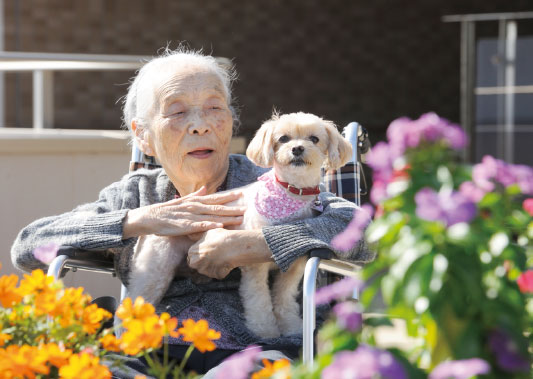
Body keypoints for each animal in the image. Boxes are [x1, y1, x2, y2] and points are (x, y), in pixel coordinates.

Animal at [128, 112, 352, 338]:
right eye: (283, 138)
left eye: (314, 139)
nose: (297, 148)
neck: (291, 193)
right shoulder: (255, 267)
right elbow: (258, 300)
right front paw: (265, 331)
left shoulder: (294, 267)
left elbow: (284, 298)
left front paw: (290, 327)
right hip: (155, 272)